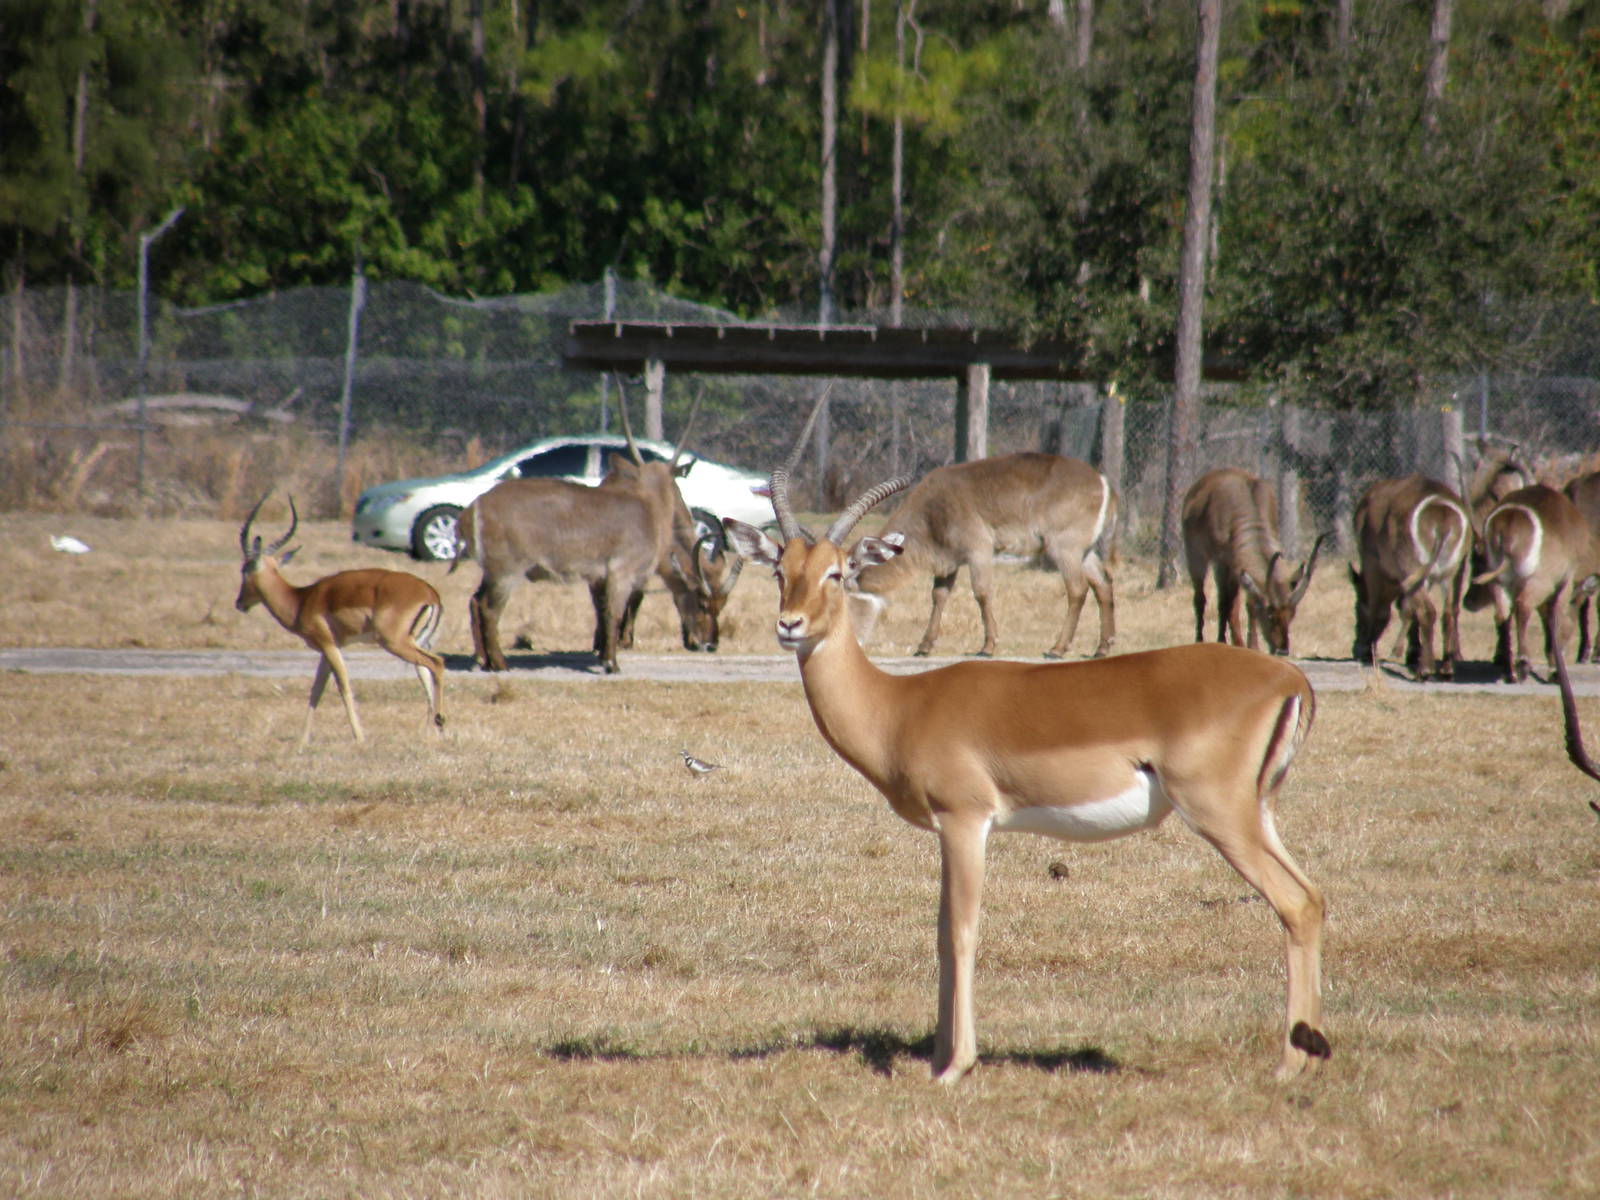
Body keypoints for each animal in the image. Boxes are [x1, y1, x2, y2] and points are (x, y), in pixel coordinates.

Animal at [235, 493, 445, 747]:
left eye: (244, 570)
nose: (240, 603)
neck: (301, 600)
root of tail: (430, 592)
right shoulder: (326, 650)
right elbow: (316, 690)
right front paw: (302, 741)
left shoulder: (329, 645)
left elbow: (343, 686)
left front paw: (360, 737)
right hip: (417, 642)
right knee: (426, 674)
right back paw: (432, 732)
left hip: (395, 643)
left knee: (437, 664)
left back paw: (440, 724)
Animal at [847, 452, 1117, 659]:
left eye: (851, 563)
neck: (932, 510)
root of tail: (1102, 482)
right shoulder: (948, 561)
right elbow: (939, 596)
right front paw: (924, 647)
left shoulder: (979, 551)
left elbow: (982, 593)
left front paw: (987, 647)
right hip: (1085, 551)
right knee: (1103, 584)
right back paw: (1102, 648)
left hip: (1064, 548)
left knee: (1078, 588)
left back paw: (1057, 649)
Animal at [1183, 467, 1327, 656]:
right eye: (1270, 614)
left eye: (1292, 614)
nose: (1282, 650)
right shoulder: (1224, 562)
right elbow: (1226, 603)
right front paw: (1232, 642)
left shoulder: (1239, 569)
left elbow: (1247, 604)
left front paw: (1252, 645)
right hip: (1197, 556)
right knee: (1202, 598)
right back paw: (1202, 640)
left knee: (1227, 601)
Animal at [1348, 475, 1470, 679]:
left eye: (1356, 608)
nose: (1355, 648)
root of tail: (1442, 510)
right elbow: (1407, 608)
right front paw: (1412, 653)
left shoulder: (1372, 562)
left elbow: (1379, 608)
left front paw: (1369, 652)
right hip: (1453, 573)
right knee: (1449, 613)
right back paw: (1446, 668)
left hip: (1413, 569)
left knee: (1427, 611)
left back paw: (1425, 670)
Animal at [1464, 483, 1597, 683]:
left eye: (1477, 563)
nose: (1468, 601)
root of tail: (1509, 521)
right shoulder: (1564, 584)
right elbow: (1555, 621)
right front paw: (1555, 671)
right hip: (1539, 581)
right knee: (1523, 606)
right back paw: (1523, 664)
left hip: (1501, 582)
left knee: (1502, 615)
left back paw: (1507, 670)